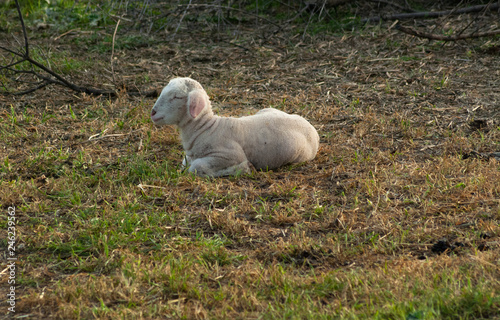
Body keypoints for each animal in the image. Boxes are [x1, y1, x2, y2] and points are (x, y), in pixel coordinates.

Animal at [149, 77, 320, 178]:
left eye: (177, 97)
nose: (153, 112)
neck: (205, 128)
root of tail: (312, 128)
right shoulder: (189, 157)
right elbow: (185, 164)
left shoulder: (229, 155)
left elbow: (196, 167)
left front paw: (242, 168)